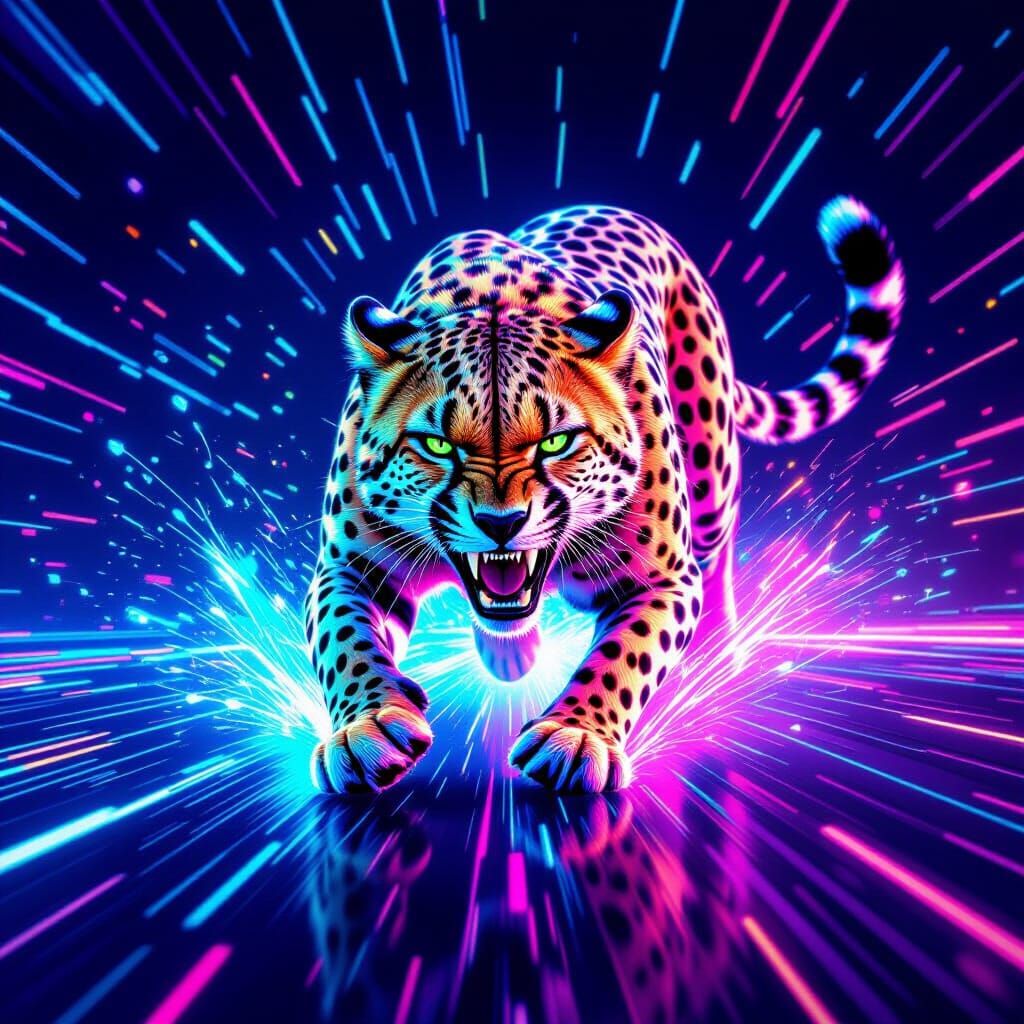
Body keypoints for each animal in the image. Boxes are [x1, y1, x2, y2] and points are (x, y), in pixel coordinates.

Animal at [304, 196, 904, 795]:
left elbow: (626, 656)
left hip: (711, 471)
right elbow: (344, 642)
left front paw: (574, 736)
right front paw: (368, 727)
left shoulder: (663, 579)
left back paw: (715, 657)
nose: (500, 523)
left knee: (719, 551)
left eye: (556, 441)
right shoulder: (348, 568)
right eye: (436, 444)